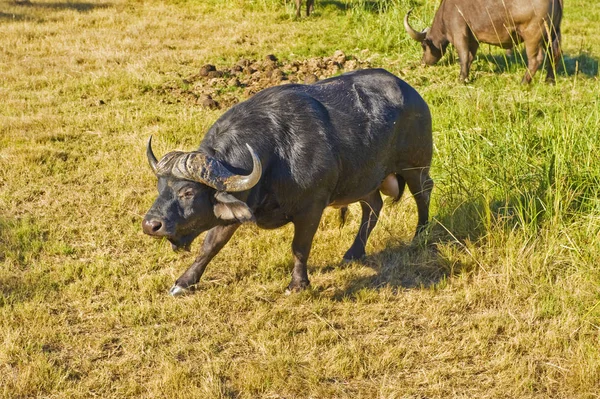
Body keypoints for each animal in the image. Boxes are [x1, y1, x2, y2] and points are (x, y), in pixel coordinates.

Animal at [143, 68, 434, 296]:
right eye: (160, 187)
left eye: (188, 192)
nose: (151, 225)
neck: (276, 155)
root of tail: (414, 96)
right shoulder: (238, 206)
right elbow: (210, 245)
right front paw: (184, 282)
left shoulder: (311, 208)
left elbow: (300, 247)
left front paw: (297, 284)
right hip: (364, 179)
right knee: (373, 207)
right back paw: (354, 251)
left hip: (415, 166)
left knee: (423, 193)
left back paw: (420, 235)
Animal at [404, 0, 564, 83]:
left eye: (423, 46)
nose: (423, 62)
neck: (445, 13)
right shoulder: (473, 40)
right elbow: (470, 57)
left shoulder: (459, 34)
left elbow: (463, 56)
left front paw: (461, 79)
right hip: (553, 33)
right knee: (555, 54)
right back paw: (549, 80)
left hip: (532, 36)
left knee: (536, 59)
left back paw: (524, 82)